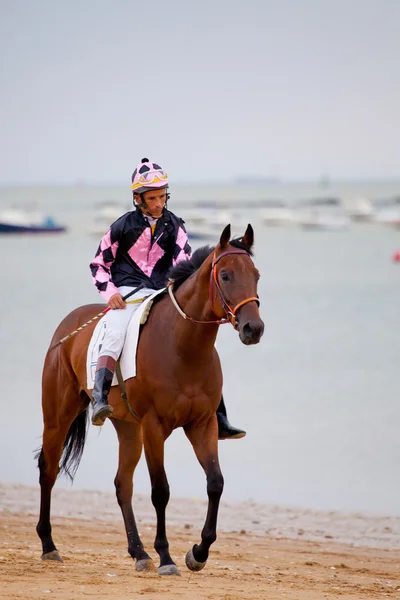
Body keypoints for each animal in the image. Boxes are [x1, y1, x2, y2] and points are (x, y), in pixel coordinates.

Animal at [36, 224, 264, 576]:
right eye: (225, 275)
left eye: (256, 275)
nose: (254, 328)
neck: (182, 347)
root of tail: (67, 325)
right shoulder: (155, 427)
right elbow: (161, 491)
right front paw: (166, 557)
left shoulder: (202, 424)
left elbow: (215, 483)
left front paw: (198, 552)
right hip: (58, 416)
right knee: (48, 469)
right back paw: (49, 545)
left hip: (129, 428)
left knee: (122, 484)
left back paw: (139, 552)